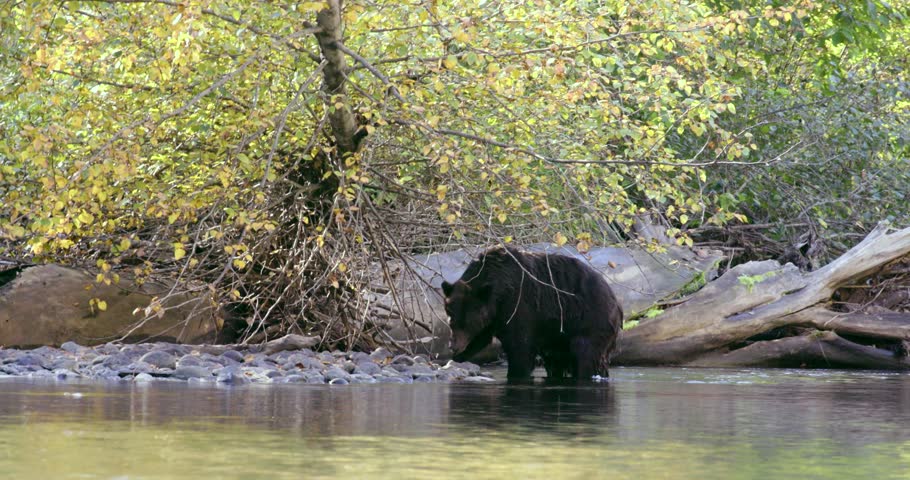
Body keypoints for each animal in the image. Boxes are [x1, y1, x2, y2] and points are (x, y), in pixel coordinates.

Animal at [441, 246, 623, 380]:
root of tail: (615, 299)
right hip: (558, 336)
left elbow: (520, 347)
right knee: (557, 360)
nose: (453, 346)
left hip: (589, 320)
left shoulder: (519, 307)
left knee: (586, 354)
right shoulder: (494, 318)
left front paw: (517, 374)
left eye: (467, 320)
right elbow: (482, 338)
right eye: (450, 316)